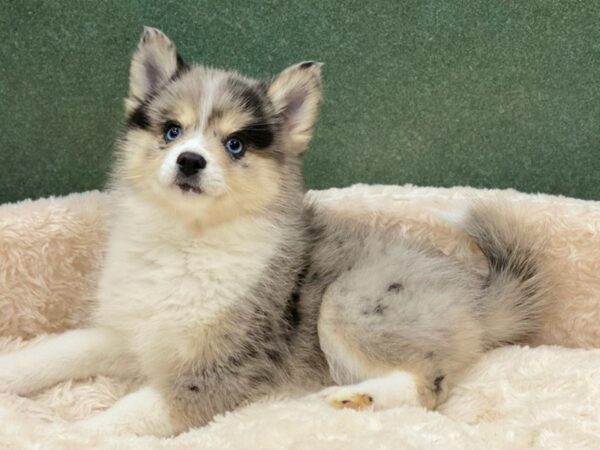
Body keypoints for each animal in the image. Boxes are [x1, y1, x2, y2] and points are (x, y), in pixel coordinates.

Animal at [0, 28, 552, 436]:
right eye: (172, 131)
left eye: (236, 144)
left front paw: (66, 436)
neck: (188, 241)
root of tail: (477, 296)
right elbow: (58, 350)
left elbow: (127, 414)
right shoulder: (127, 332)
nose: (190, 161)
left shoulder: (219, 372)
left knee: (430, 386)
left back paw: (356, 397)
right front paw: (10, 373)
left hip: (349, 302)